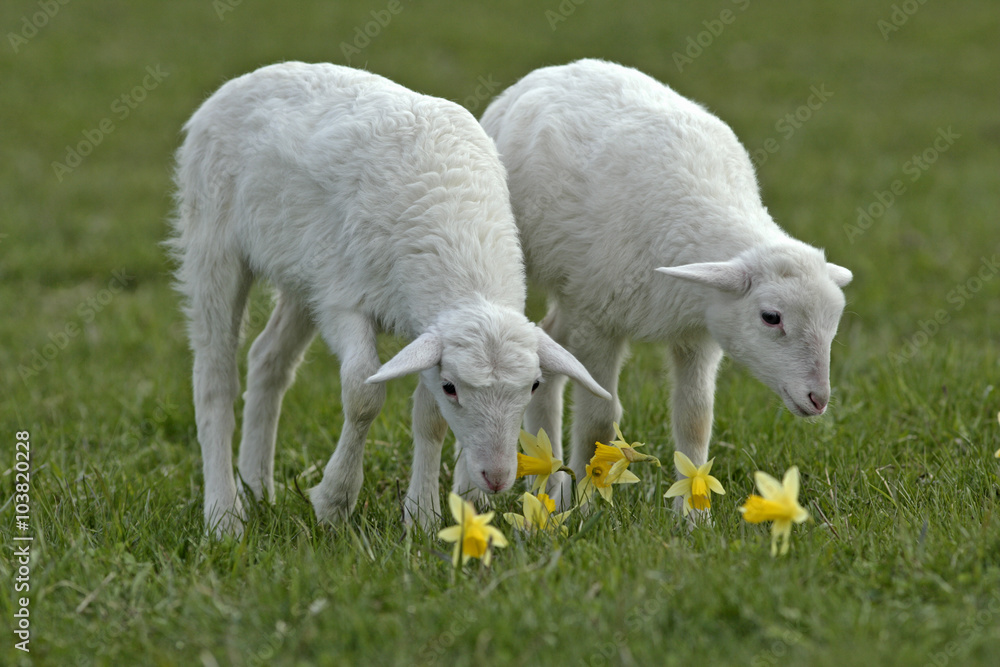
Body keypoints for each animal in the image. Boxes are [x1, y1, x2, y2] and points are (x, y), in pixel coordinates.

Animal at [168, 62, 611, 536]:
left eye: (533, 386)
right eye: (453, 388)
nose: (496, 479)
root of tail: (245, 79)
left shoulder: (421, 326)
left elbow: (429, 419)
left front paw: (421, 516)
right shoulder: (344, 301)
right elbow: (362, 392)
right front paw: (334, 500)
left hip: (305, 276)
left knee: (267, 358)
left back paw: (257, 488)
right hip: (214, 243)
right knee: (214, 377)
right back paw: (224, 514)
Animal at [475, 59, 852, 511]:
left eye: (833, 325)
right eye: (771, 317)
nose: (819, 399)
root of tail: (556, 68)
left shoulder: (699, 334)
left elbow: (695, 419)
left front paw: (692, 514)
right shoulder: (601, 323)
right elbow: (600, 422)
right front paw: (587, 505)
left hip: (576, 291)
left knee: (549, 342)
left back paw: (548, 483)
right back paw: (544, 486)